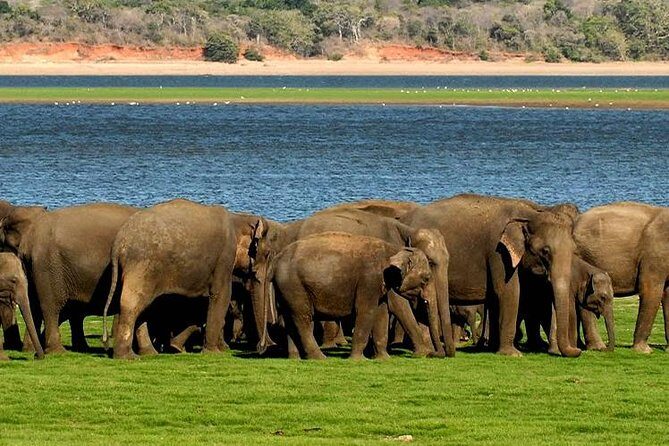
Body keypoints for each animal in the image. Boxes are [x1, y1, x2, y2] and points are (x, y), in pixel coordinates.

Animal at [102, 199, 263, 359]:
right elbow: (221, 295)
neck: (236, 217)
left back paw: (147, 353)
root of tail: (119, 242)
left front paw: (177, 347)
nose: (259, 347)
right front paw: (215, 352)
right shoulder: (224, 257)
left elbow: (198, 303)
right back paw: (128, 357)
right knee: (132, 303)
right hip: (142, 266)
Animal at [269, 232, 433, 360]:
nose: (427, 355)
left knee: (289, 318)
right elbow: (366, 311)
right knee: (302, 318)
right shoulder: (369, 280)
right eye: (426, 279)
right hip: (294, 285)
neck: (394, 249)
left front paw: (383, 359)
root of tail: (276, 259)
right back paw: (320, 358)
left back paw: (295, 358)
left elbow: (381, 313)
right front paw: (357, 360)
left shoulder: (380, 284)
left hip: (285, 289)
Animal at [401, 194, 582, 357]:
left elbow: (498, 297)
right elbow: (508, 292)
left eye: (574, 249)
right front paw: (512, 354)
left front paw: (493, 348)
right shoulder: (498, 253)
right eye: (545, 251)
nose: (578, 351)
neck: (530, 213)